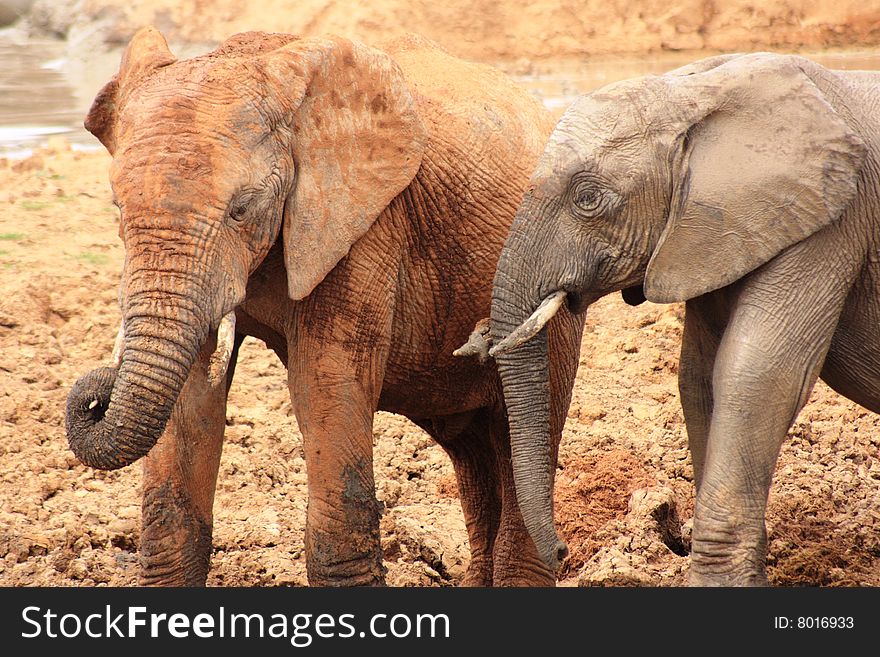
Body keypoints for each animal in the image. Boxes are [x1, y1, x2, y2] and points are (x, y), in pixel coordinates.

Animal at [63, 28, 584, 588]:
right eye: (117, 208)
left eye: (242, 209)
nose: (96, 395)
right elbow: (192, 399)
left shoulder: (363, 222)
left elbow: (326, 383)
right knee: (473, 447)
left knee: (521, 432)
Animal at [474, 52, 880, 584]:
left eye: (588, 199)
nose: (563, 551)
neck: (695, 93)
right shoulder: (715, 231)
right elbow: (698, 376)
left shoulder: (834, 220)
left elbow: (757, 374)